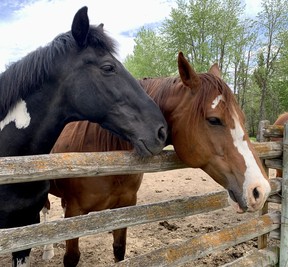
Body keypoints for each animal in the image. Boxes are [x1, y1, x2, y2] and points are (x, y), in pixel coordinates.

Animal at [46, 52, 272, 267]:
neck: (104, 157)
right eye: (214, 120)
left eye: (242, 118)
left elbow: (119, 250)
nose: (260, 190)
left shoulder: (124, 208)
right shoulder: (73, 212)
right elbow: (72, 257)